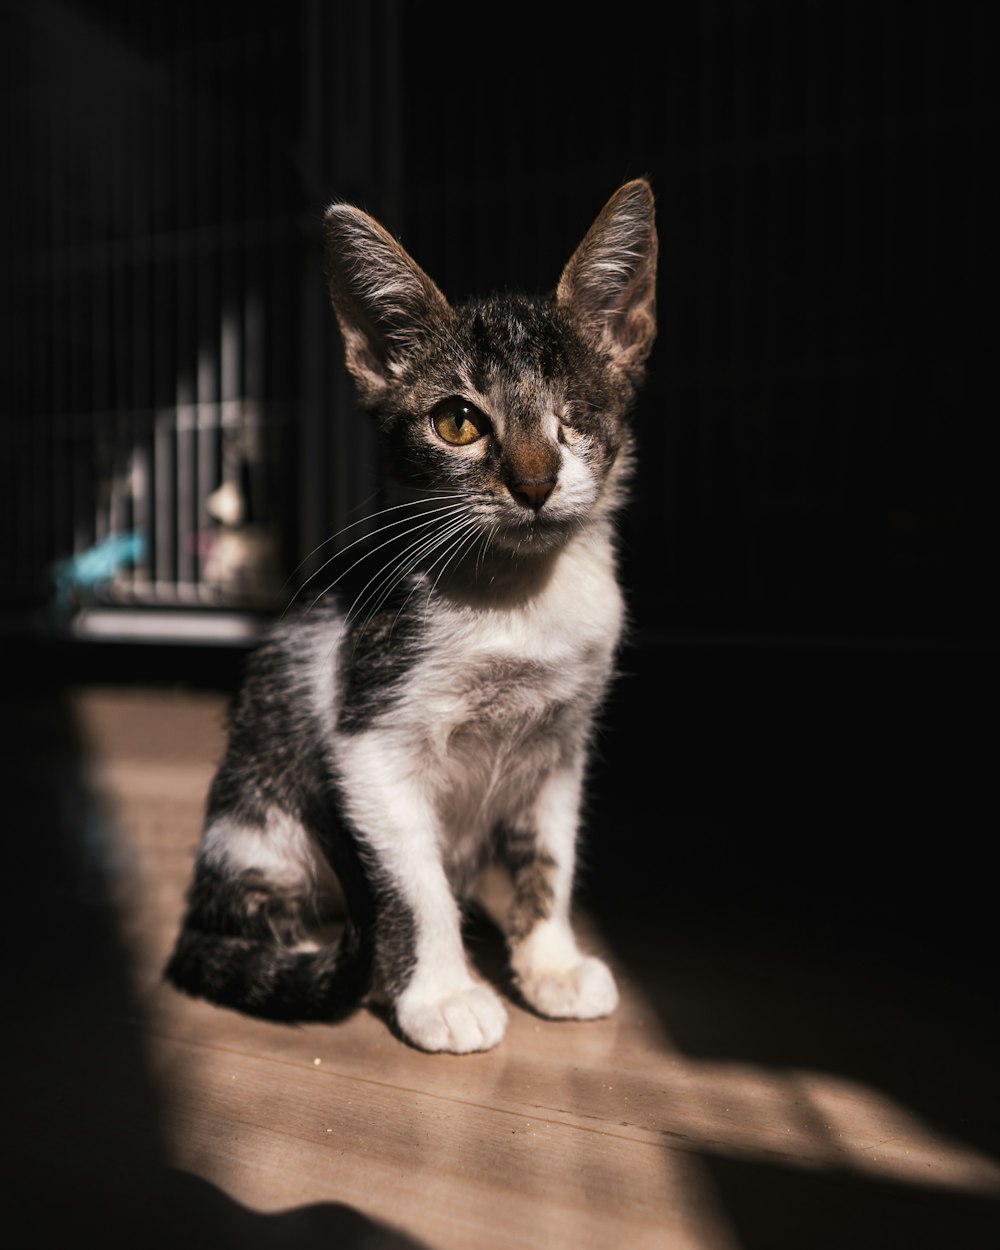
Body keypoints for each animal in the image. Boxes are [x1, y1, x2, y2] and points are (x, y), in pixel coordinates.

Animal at [163, 178, 655, 1055]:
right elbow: (412, 881)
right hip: (261, 821)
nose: (534, 483)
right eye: (459, 422)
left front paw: (552, 962)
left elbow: (551, 854)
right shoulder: (370, 734)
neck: (517, 597)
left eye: (573, 414)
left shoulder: (563, 743)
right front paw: (441, 993)